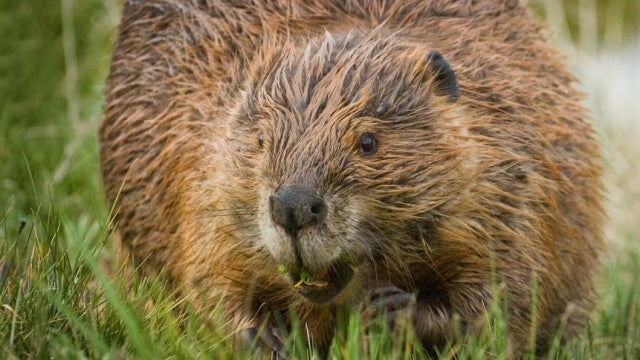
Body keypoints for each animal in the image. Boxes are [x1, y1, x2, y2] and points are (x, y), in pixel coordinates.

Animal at [100, 0, 604, 356]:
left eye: (367, 142)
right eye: (260, 139)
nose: (293, 206)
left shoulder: (508, 185)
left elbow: (503, 297)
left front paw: (392, 309)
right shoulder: (203, 182)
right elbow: (206, 284)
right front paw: (262, 339)